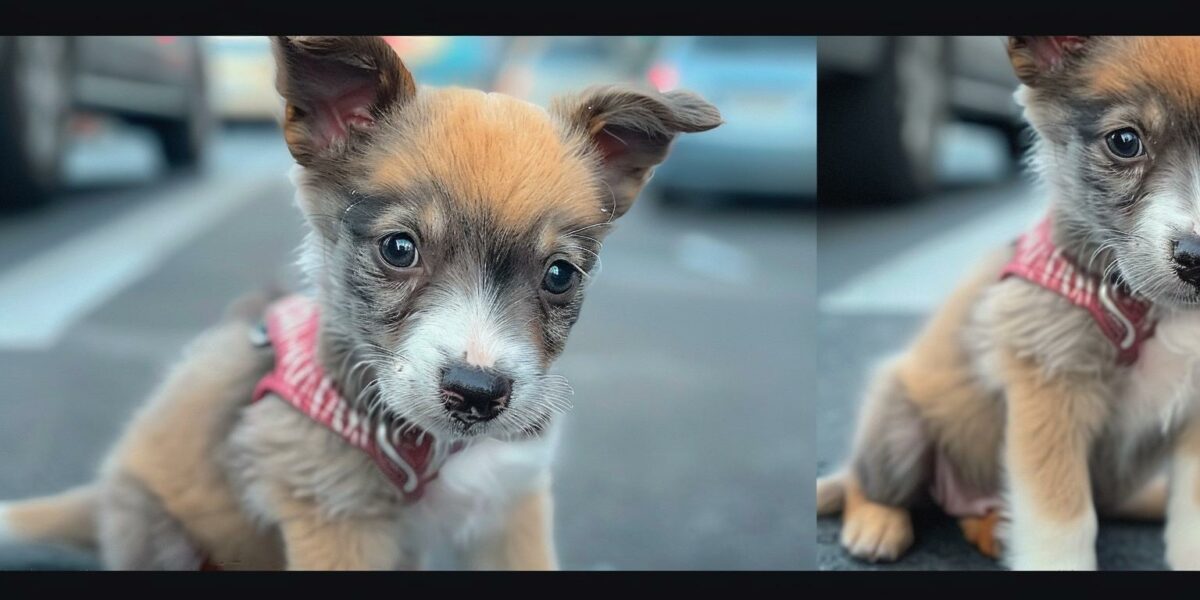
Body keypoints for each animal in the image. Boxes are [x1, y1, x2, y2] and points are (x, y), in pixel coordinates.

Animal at [0, 35, 715, 568]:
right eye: (399, 249)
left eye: (560, 275)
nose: (477, 394)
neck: (430, 451)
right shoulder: (336, 517)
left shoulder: (511, 504)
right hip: (158, 531)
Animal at [820, 35, 1200, 568]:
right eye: (1125, 141)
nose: (1198, 258)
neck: (1152, 311)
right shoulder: (1048, 388)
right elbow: (1062, 526)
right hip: (897, 425)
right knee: (864, 479)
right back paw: (877, 522)